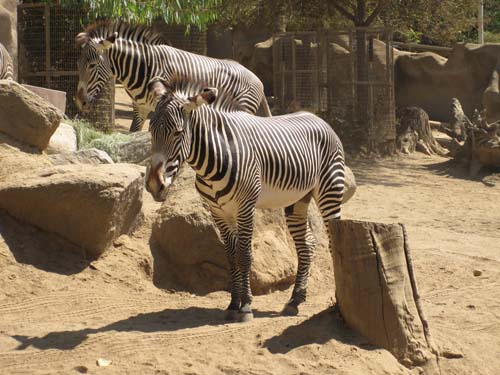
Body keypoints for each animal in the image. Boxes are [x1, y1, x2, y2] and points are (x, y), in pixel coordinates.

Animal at [74, 22, 272, 133]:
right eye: (78, 64)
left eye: (92, 65)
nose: (79, 102)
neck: (144, 68)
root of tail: (259, 80)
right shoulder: (140, 107)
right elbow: (134, 133)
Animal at [146, 86, 346, 322]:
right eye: (150, 131)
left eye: (177, 132)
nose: (154, 185)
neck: (214, 160)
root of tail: (318, 118)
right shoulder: (218, 211)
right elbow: (231, 257)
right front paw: (233, 304)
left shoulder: (245, 207)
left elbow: (244, 256)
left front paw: (246, 306)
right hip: (298, 199)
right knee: (307, 243)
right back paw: (295, 300)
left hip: (329, 190)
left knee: (334, 243)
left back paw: (338, 300)